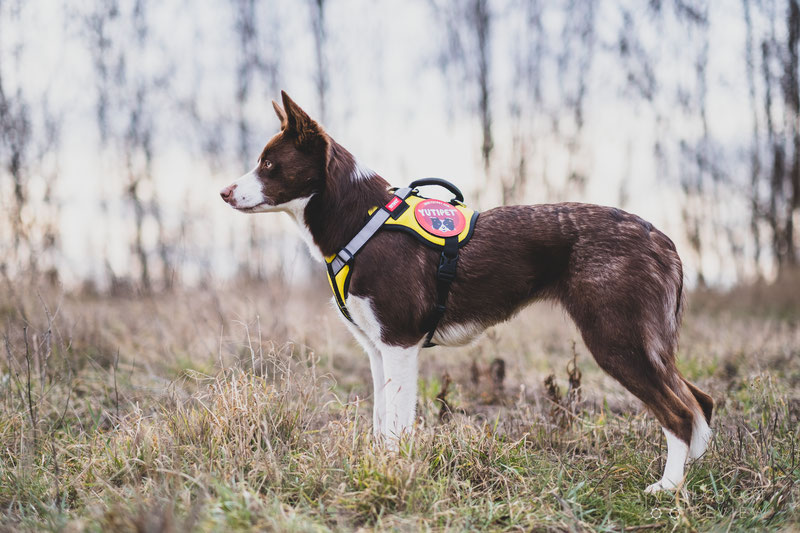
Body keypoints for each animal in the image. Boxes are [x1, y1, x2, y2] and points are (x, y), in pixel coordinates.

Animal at [219, 90, 712, 490]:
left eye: (268, 163)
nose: (223, 192)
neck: (363, 222)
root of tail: (661, 238)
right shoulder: (376, 349)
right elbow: (380, 419)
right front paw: (378, 465)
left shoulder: (399, 343)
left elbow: (397, 424)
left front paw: (396, 472)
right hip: (646, 342)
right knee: (700, 402)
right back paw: (693, 475)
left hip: (615, 338)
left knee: (679, 412)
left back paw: (667, 489)